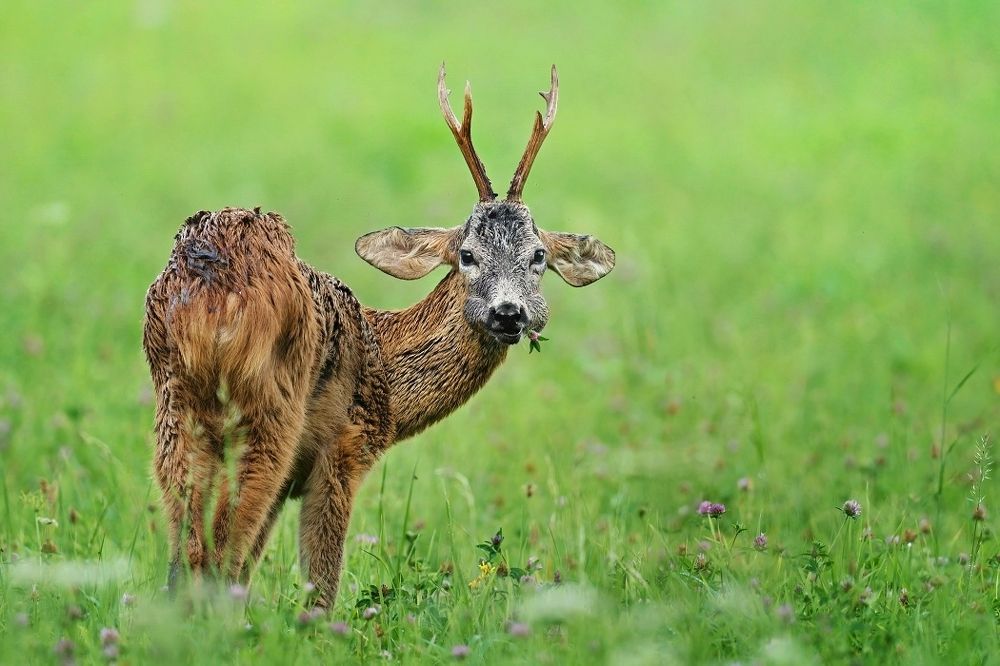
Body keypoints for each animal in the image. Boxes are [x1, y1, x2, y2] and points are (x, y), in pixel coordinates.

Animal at [142, 64, 615, 608]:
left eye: (538, 255)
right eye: (467, 254)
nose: (509, 313)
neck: (385, 367)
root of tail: (212, 281)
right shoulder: (344, 449)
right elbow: (321, 581)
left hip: (175, 403)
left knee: (188, 546)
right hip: (268, 407)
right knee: (221, 549)